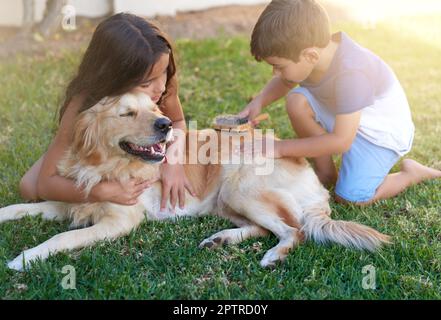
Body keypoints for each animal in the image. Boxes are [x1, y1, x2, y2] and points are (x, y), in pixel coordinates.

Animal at [0, 91, 388, 272]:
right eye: (127, 113)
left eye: (155, 109)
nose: (165, 125)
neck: (105, 166)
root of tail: (318, 187)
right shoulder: (66, 202)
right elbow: (19, 207)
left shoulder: (120, 221)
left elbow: (63, 237)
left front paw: (24, 258)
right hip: (226, 199)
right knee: (264, 228)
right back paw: (221, 239)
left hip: (239, 186)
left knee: (294, 231)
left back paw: (272, 256)